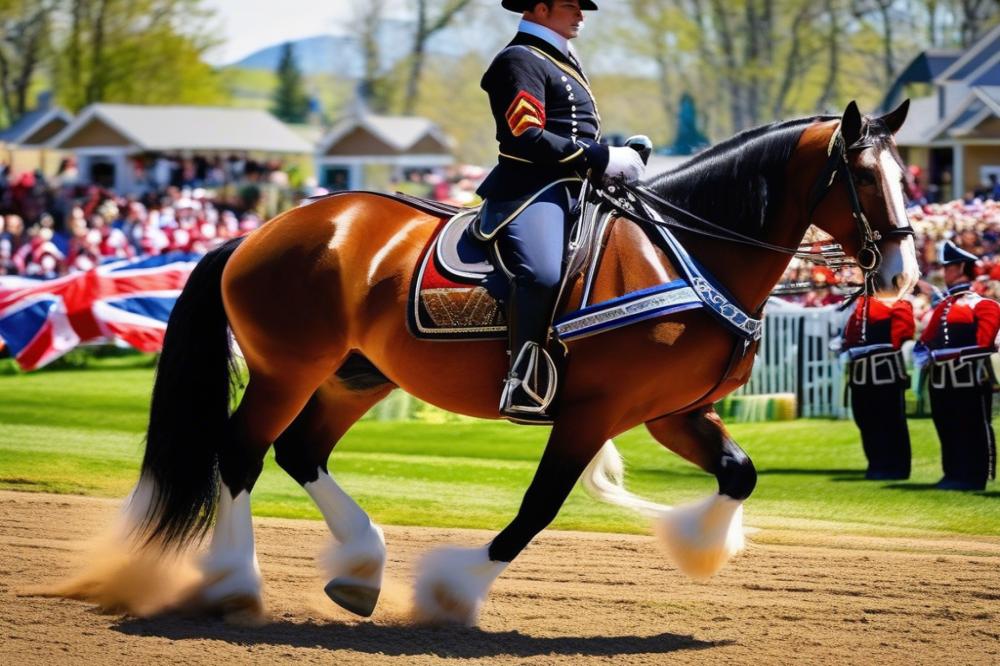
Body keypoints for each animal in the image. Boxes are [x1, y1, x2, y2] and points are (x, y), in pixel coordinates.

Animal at [121, 101, 916, 624]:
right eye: (863, 177)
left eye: (905, 174)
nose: (903, 274)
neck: (683, 251)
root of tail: (259, 232)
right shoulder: (593, 412)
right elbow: (538, 508)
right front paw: (453, 590)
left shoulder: (674, 413)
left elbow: (739, 475)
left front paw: (695, 546)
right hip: (288, 371)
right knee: (240, 454)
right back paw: (234, 584)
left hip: (355, 376)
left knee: (297, 451)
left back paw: (360, 567)